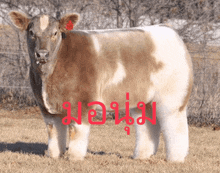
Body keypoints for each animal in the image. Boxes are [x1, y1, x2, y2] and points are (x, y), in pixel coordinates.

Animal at [9, 10, 192, 162]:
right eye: (31, 33)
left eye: (55, 33)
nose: (42, 54)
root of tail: (170, 31)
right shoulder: (46, 107)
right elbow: (53, 132)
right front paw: (54, 155)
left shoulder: (81, 103)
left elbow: (77, 132)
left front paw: (74, 157)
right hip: (144, 101)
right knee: (147, 126)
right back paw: (141, 156)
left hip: (172, 99)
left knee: (175, 127)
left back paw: (175, 158)